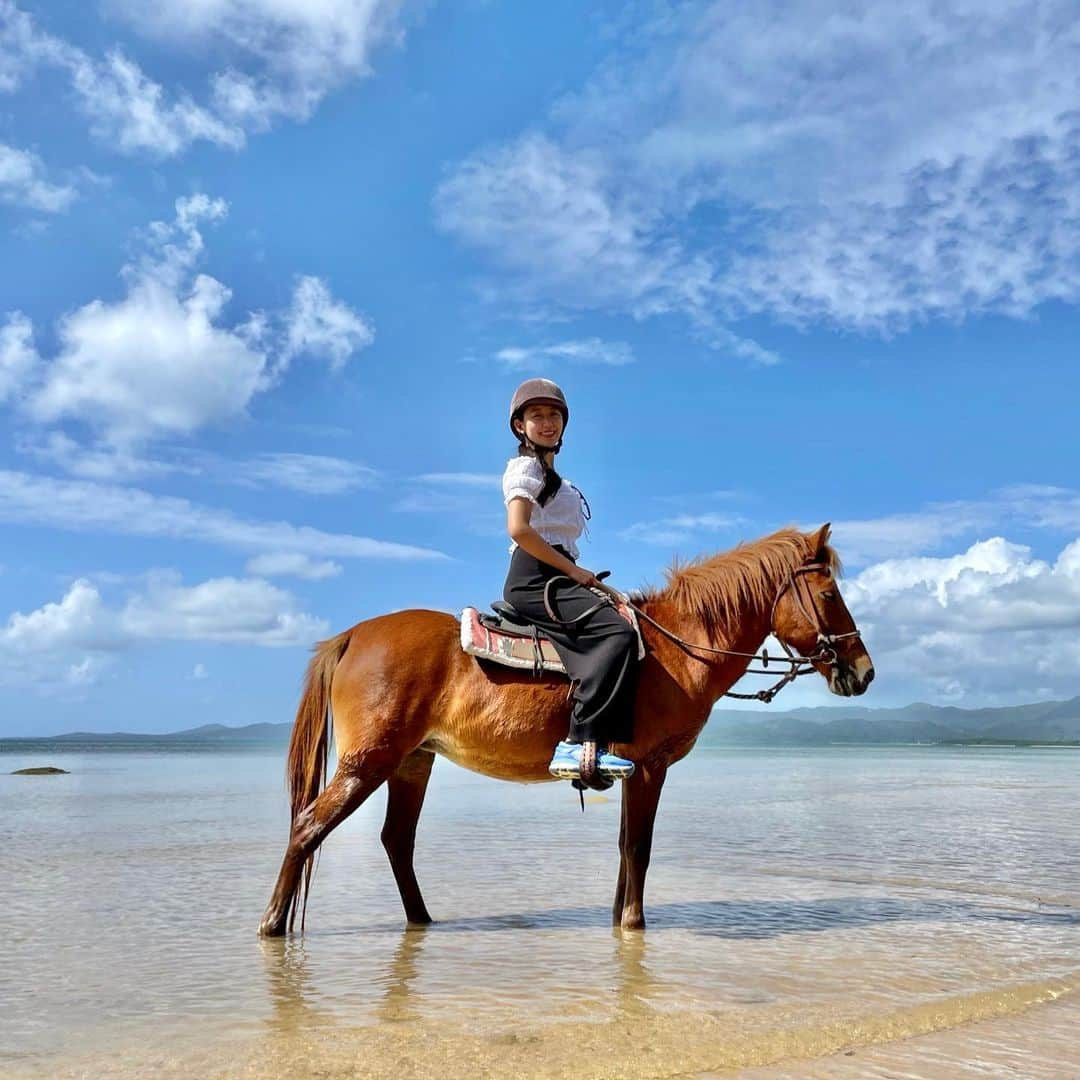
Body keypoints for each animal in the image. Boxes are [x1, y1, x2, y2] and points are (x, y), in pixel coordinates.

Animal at [257, 522, 872, 937]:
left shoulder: (630, 772)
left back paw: (423, 921)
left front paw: (620, 920)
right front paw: (634, 924)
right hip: (369, 761)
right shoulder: (650, 768)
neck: (676, 648)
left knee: (396, 840)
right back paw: (271, 926)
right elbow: (640, 847)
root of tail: (353, 635)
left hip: (412, 761)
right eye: (828, 594)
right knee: (308, 827)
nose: (863, 671)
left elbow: (625, 846)